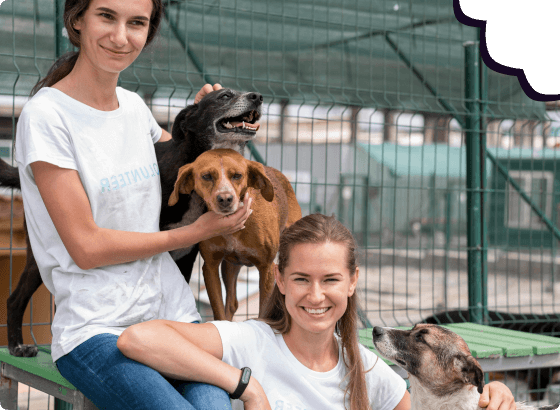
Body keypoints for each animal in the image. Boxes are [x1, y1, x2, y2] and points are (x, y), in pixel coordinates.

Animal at [168, 148, 302, 320]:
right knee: (232, 303)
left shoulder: (266, 268)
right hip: (230, 267)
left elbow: (264, 312)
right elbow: (219, 311)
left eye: (237, 175)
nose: (225, 199)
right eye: (207, 176)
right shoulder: (210, 267)